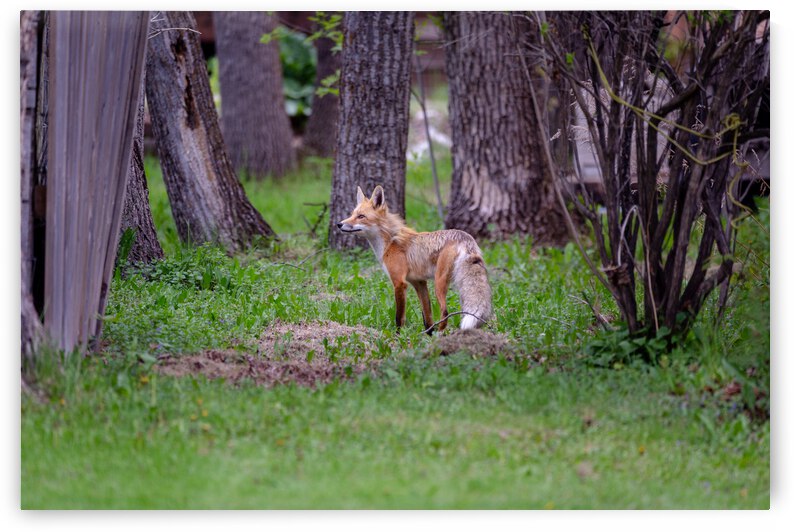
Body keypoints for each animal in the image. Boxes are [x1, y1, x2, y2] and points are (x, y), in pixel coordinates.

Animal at [336, 185, 493, 333]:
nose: (339, 224)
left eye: (361, 216)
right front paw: (427, 336)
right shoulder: (419, 283)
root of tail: (465, 238)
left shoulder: (399, 282)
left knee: (445, 313)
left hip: (439, 283)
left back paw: (441, 337)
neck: (390, 242)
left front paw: (398, 336)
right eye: (352, 214)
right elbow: (427, 318)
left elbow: (399, 318)